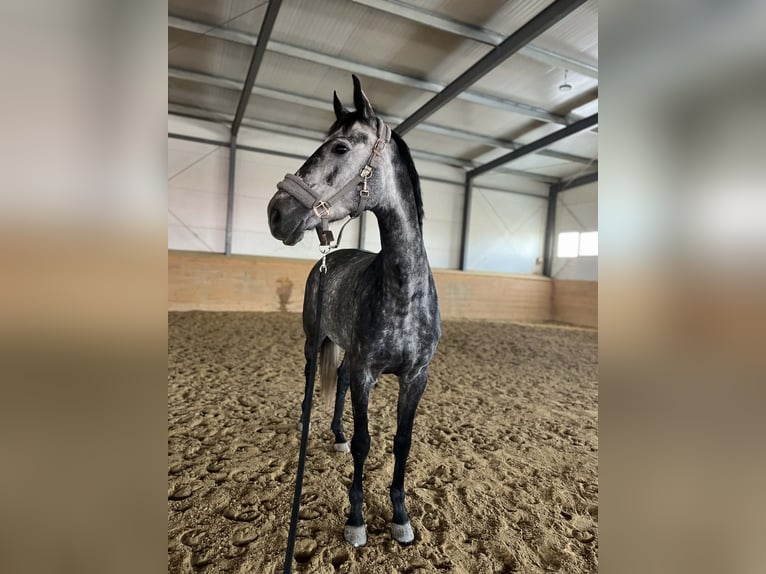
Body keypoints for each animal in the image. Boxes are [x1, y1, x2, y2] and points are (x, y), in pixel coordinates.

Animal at [267, 75, 441, 548]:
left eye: (341, 147)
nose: (276, 213)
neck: (403, 294)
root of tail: (330, 257)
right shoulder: (367, 372)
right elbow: (366, 442)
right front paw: (357, 519)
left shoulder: (415, 377)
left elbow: (401, 441)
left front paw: (400, 516)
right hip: (315, 341)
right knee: (314, 380)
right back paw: (311, 429)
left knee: (339, 379)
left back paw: (337, 435)